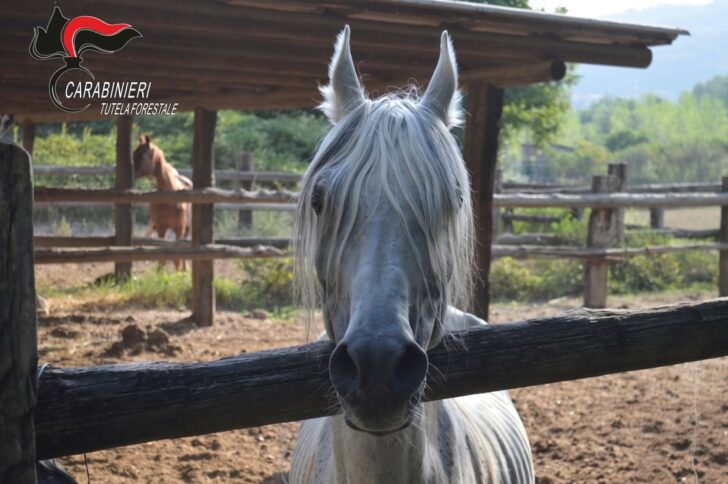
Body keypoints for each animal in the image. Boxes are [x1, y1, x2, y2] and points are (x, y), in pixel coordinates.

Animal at [133, 135, 192, 271]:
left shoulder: (179, 228)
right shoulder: (161, 228)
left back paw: (185, 269)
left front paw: (179, 272)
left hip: (187, 227)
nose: (132, 175)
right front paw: (159, 272)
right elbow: (162, 256)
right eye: (134, 154)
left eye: (142, 155)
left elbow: (177, 258)